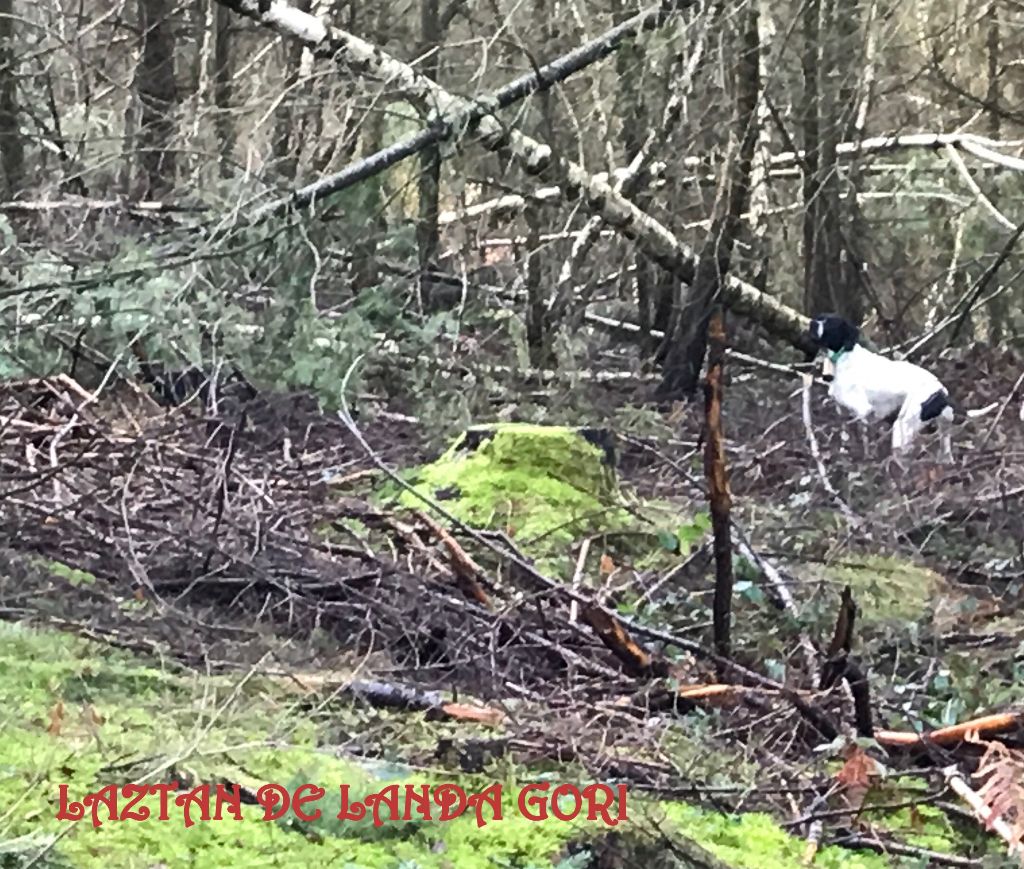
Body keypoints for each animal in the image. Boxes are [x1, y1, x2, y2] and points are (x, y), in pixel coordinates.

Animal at [806, 311, 966, 460]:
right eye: (819, 317)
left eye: (830, 324)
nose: (812, 323)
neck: (843, 356)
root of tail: (941, 390)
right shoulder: (846, 410)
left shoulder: (862, 409)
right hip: (943, 425)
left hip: (903, 425)